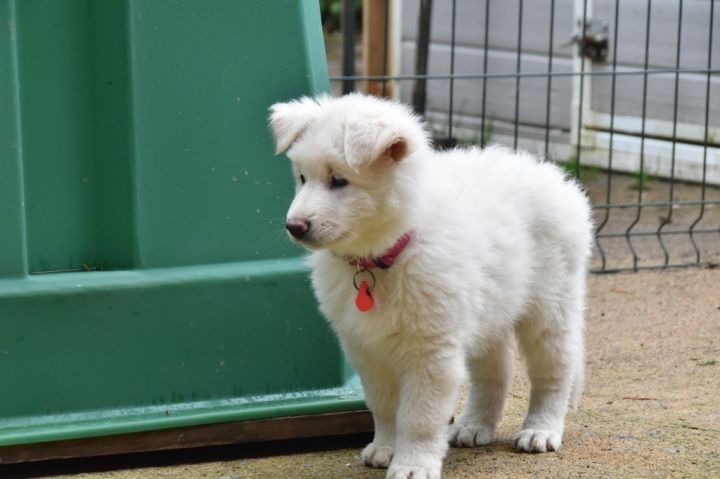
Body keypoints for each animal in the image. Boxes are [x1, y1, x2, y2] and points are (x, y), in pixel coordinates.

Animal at [269, 93, 592, 479]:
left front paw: (412, 464)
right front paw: (385, 448)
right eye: (302, 178)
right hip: (489, 309)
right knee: (496, 370)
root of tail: (551, 173)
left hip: (550, 304)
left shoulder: (432, 351)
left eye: (339, 181)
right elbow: (383, 405)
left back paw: (540, 430)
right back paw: (473, 426)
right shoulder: (366, 348)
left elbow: (419, 416)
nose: (294, 226)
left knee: (555, 370)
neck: (384, 256)